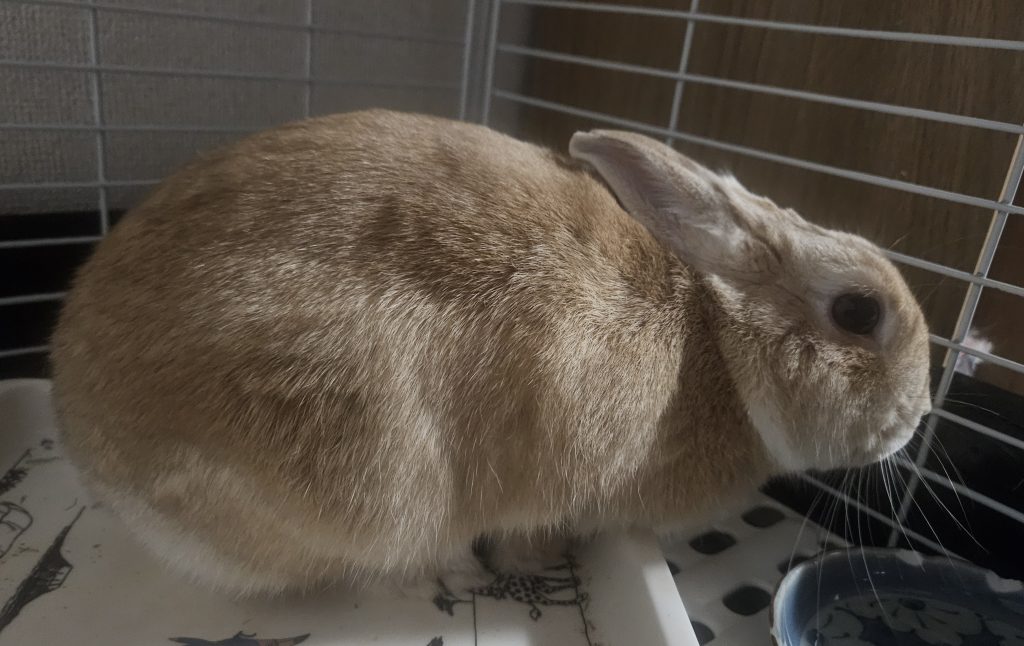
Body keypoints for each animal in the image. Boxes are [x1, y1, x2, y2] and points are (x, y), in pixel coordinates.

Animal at [50, 109, 931, 597]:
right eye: (859, 312)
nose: (918, 415)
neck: (718, 343)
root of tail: (93, 451)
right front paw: (533, 561)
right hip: (378, 468)